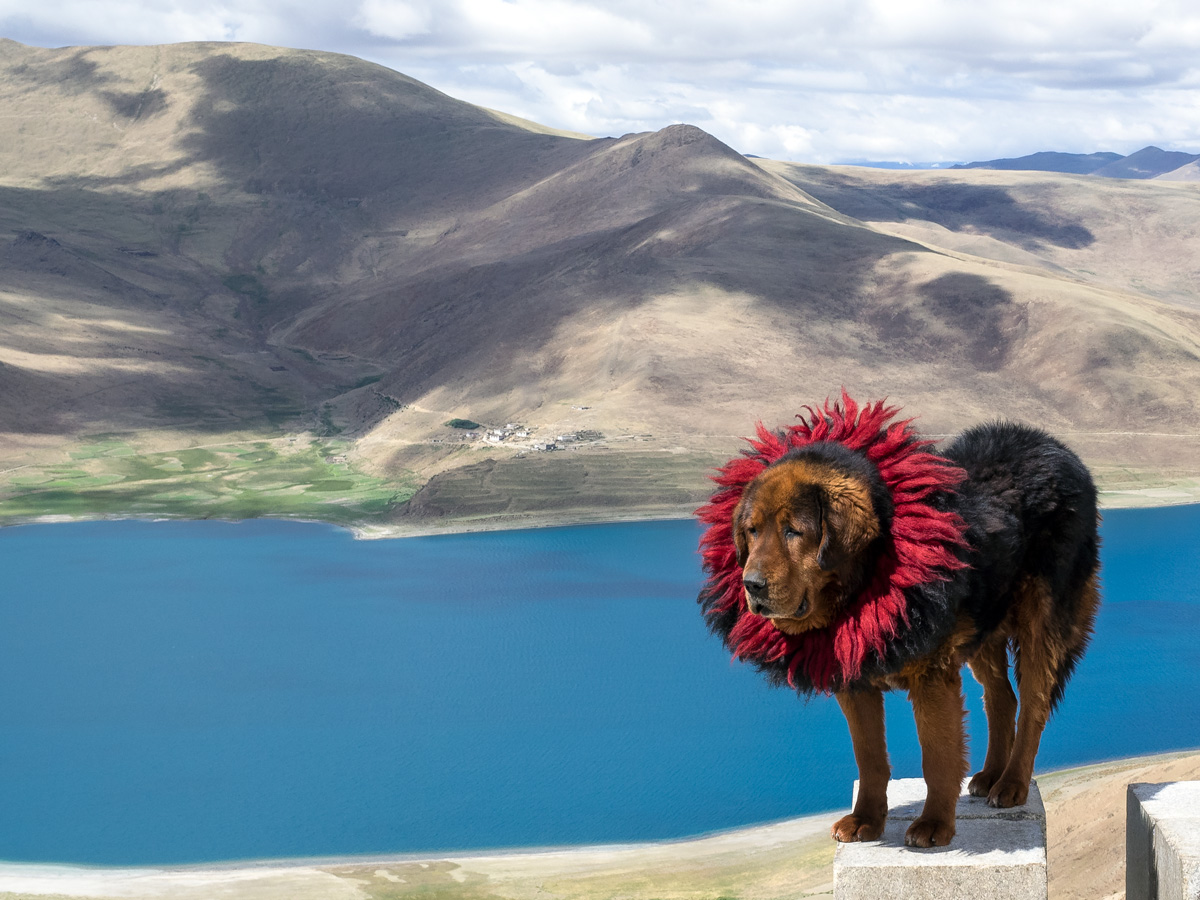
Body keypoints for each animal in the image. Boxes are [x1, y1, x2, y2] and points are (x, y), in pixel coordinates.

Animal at [700, 396, 1099, 854]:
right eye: (751, 531)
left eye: (793, 531)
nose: (751, 585)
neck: (865, 583)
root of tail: (1057, 448)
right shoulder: (854, 679)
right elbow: (870, 756)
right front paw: (865, 820)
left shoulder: (932, 675)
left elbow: (937, 756)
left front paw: (935, 824)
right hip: (984, 627)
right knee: (1002, 698)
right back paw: (989, 776)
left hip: (1042, 620)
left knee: (1033, 703)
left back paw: (1012, 782)